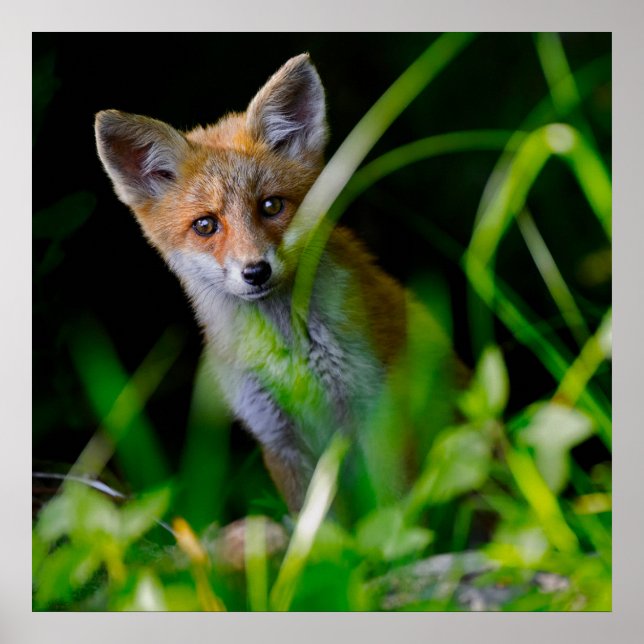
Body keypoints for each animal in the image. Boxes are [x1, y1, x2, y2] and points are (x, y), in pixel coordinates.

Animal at [95, 54, 457, 514]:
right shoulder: (277, 438)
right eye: (205, 225)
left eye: (270, 206)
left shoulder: (378, 412)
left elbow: (391, 509)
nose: (255, 271)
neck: (290, 354)